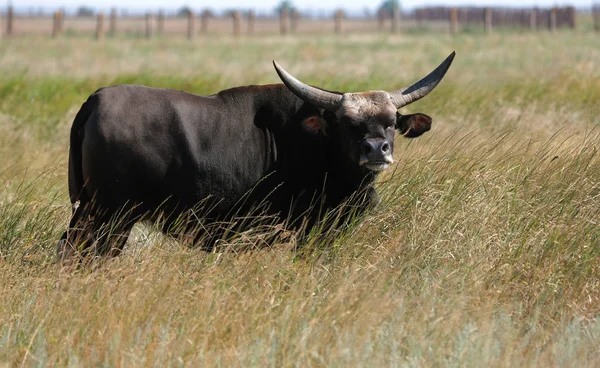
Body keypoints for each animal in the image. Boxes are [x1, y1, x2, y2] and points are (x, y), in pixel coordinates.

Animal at [59, 52, 454, 258]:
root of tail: (97, 99)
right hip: (109, 218)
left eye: (391, 123)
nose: (375, 149)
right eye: (348, 124)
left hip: (88, 211)